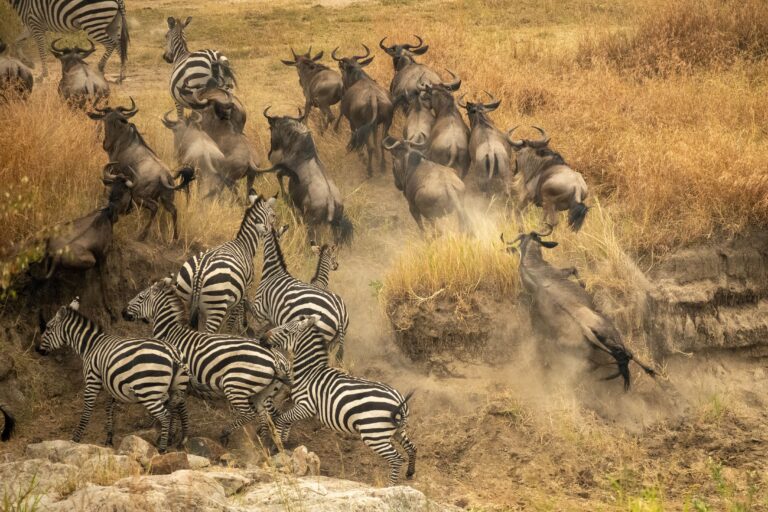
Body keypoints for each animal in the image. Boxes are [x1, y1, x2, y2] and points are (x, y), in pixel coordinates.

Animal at [36, 296, 190, 452]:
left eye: (48, 328)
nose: (38, 350)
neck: (91, 346)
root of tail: (171, 351)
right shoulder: (111, 383)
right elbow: (109, 409)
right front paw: (109, 438)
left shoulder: (92, 381)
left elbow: (87, 411)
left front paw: (76, 439)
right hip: (176, 387)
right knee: (177, 408)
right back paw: (176, 439)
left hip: (148, 391)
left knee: (165, 415)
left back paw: (162, 448)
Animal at [124, 278, 296, 446]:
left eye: (140, 297)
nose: (123, 313)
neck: (171, 333)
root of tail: (277, 358)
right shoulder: (181, 384)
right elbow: (178, 409)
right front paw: (176, 434)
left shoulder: (177, 380)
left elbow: (173, 408)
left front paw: (167, 433)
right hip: (262, 393)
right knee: (267, 415)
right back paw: (265, 443)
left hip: (236, 385)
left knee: (250, 414)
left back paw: (226, 434)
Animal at [174, 191, 276, 332]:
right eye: (273, 215)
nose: (274, 232)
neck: (245, 244)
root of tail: (200, 272)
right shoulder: (243, 294)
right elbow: (232, 321)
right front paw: (233, 332)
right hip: (216, 305)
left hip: (183, 297)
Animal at [252, 225, 348, 364]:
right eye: (334, 257)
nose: (336, 266)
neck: (274, 273)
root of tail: (339, 314)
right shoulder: (268, 317)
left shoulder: (260, 311)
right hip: (334, 340)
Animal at [266, 314, 420, 486]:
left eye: (286, 330)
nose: (262, 337)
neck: (309, 372)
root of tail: (400, 401)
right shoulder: (300, 407)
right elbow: (287, 420)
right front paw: (283, 442)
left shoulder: (307, 406)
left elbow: (282, 418)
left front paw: (277, 444)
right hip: (397, 430)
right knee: (412, 448)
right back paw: (409, 473)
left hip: (373, 434)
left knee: (397, 459)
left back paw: (390, 486)